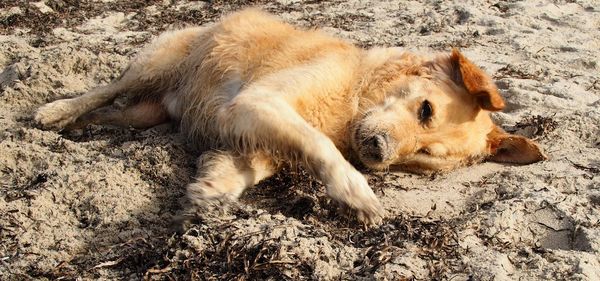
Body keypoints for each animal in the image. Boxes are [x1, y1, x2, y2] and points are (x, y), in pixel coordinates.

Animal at [35, 8, 548, 223]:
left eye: (422, 159)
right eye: (426, 110)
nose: (379, 153)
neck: (353, 98)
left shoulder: (253, 132)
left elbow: (247, 168)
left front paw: (211, 190)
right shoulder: (257, 103)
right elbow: (317, 146)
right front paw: (357, 194)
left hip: (147, 115)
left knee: (113, 113)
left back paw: (77, 127)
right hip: (155, 64)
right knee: (106, 89)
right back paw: (54, 111)